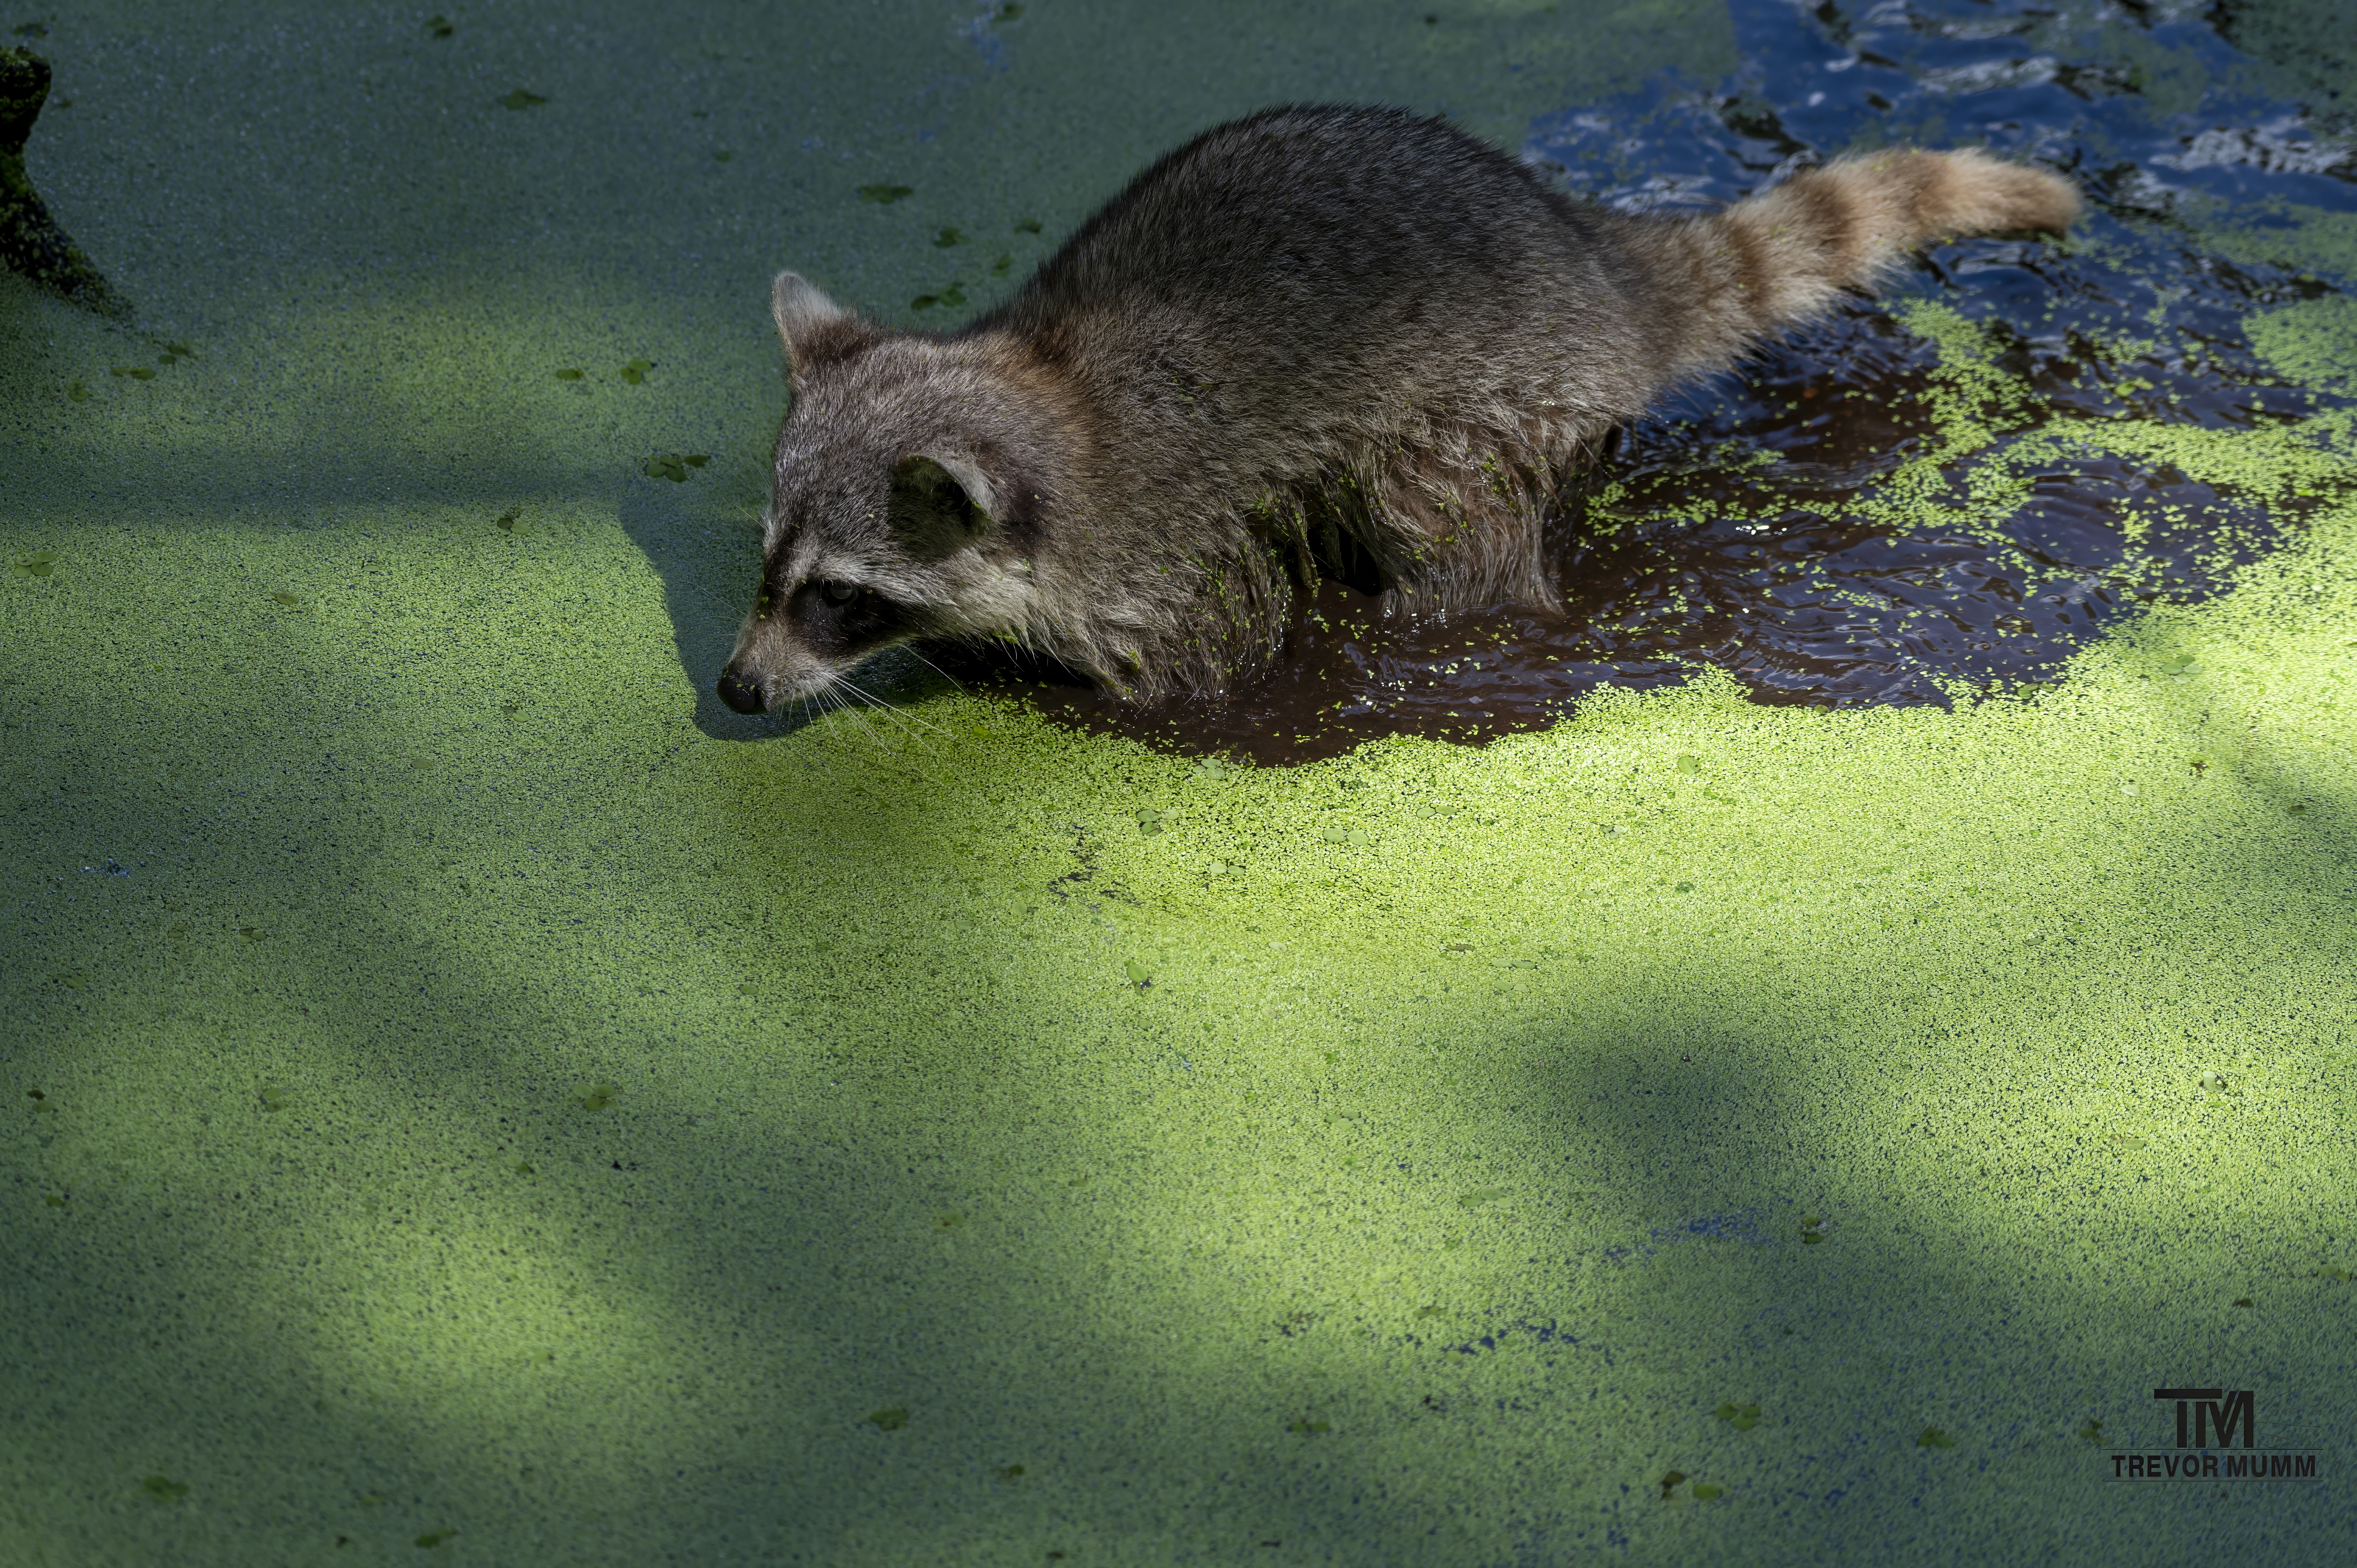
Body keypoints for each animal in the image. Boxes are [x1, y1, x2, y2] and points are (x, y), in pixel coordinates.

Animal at [717, 105, 2077, 714]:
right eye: (769, 566)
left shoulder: (1162, 561)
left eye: (842, 597)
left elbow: (1208, 672)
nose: (732, 689)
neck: (1050, 390)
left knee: (1442, 532)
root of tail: (1590, 258)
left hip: (1487, 405)